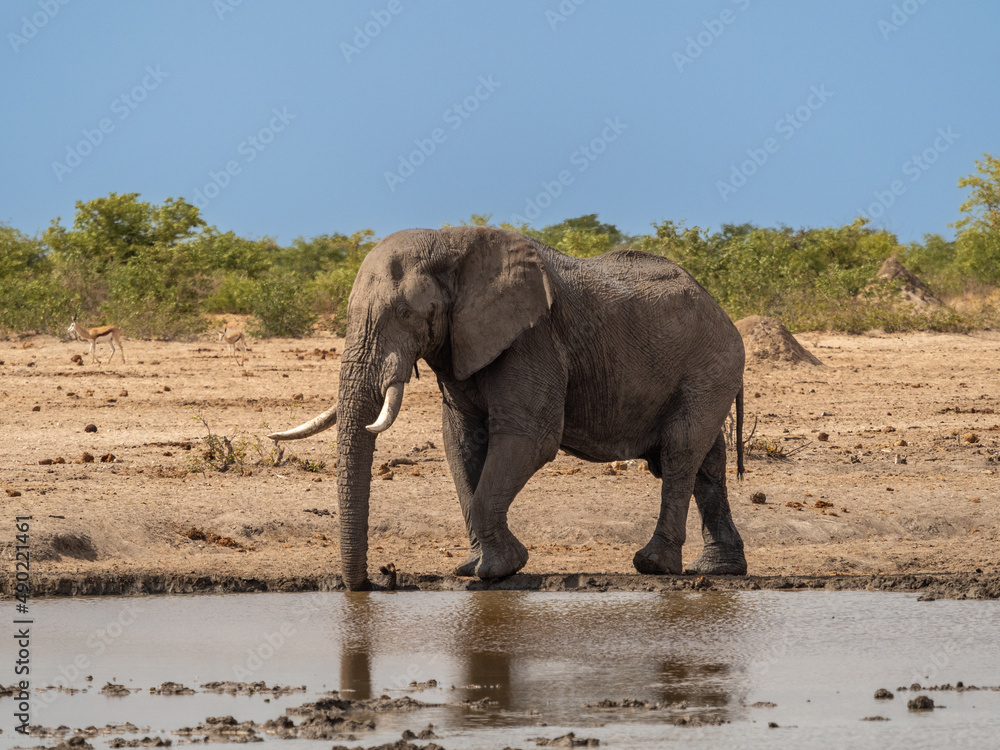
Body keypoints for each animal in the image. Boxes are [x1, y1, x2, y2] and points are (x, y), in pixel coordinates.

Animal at [270, 226, 748, 592]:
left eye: (405, 313)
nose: (378, 580)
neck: (450, 242)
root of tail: (722, 310)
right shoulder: (462, 343)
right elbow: (462, 441)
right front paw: (475, 568)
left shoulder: (532, 338)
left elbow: (530, 438)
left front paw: (501, 569)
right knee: (707, 463)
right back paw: (720, 570)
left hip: (709, 368)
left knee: (679, 454)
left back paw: (654, 566)